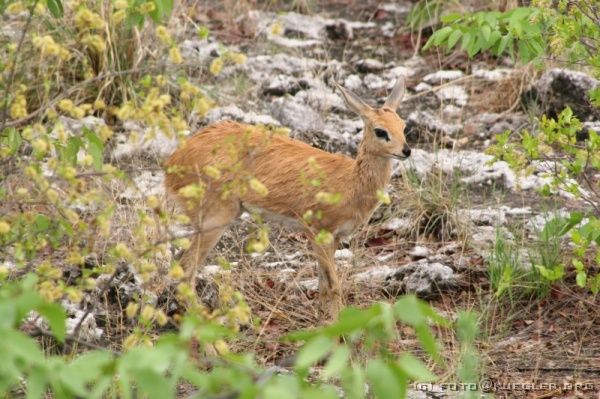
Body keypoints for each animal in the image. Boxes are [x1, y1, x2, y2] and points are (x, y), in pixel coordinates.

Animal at [164, 79, 408, 322]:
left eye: (403, 125)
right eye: (380, 131)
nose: (407, 151)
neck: (350, 182)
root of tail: (173, 161)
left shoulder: (335, 238)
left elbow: (323, 285)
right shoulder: (317, 232)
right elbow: (334, 286)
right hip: (215, 219)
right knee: (186, 269)